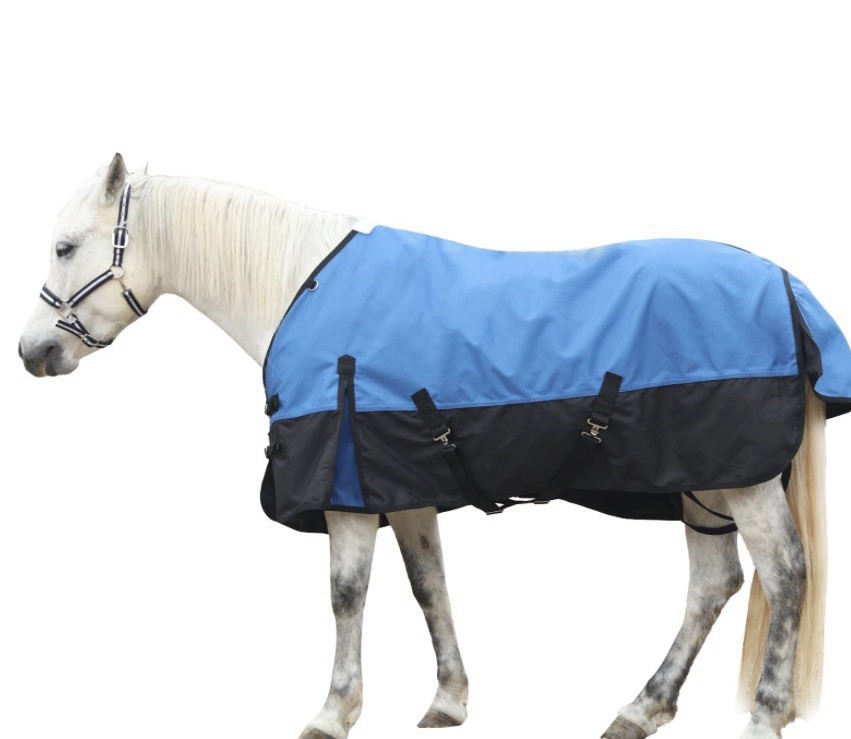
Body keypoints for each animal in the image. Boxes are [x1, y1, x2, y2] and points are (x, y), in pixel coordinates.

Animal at [18, 154, 834, 739]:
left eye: (64, 246)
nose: (31, 352)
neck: (299, 286)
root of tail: (789, 290)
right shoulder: (399, 482)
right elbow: (428, 585)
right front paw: (448, 700)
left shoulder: (347, 487)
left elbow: (346, 593)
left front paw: (332, 712)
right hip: (704, 483)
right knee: (714, 583)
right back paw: (640, 709)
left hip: (743, 481)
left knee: (786, 574)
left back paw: (763, 716)